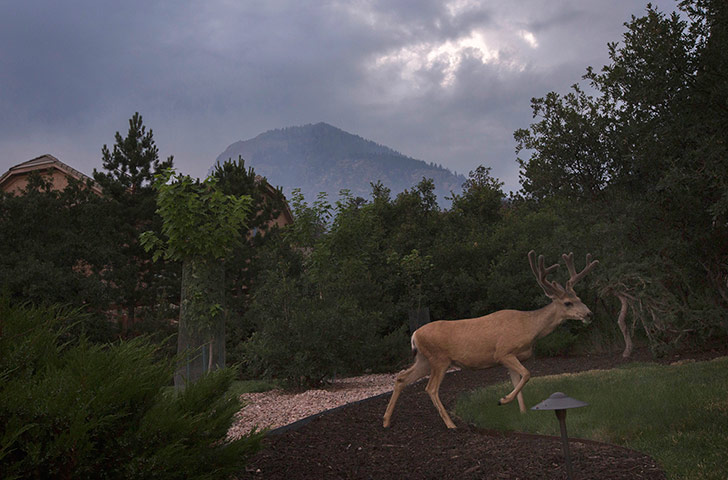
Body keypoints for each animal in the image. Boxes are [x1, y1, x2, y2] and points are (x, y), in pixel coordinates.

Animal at [382, 250, 599, 429]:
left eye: (579, 298)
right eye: (568, 303)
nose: (589, 314)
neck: (529, 327)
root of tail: (415, 335)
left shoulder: (512, 357)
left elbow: (518, 380)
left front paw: (521, 413)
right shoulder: (503, 352)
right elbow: (527, 374)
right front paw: (503, 400)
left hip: (424, 359)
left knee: (401, 378)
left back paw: (386, 421)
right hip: (439, 359)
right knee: (431, 388)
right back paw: (451, 424)